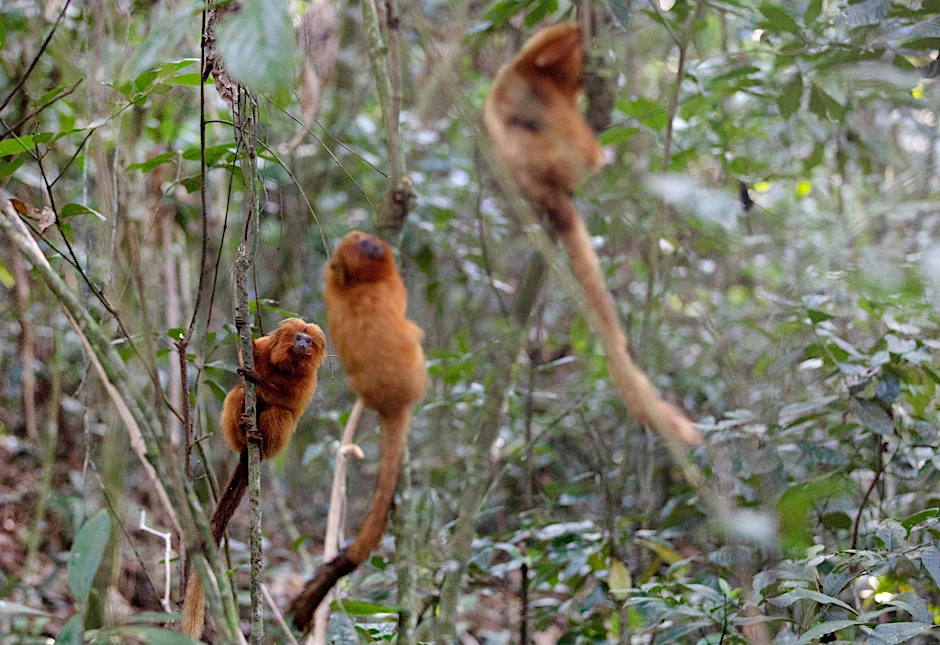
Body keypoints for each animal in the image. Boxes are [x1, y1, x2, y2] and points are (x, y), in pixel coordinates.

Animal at [181, 317, 326, 640]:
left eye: (309, 341)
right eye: (298, 337)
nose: (302, 345)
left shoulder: (308, 382)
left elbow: (289, 401)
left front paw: (259, 380)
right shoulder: (263, 348)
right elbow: (244, 354)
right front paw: (239, 325)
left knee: (281, 413)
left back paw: (259, 437)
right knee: (237, 394)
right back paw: (244, 424)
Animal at [287, 231, 427, 632]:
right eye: (363, 242)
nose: (370, 243)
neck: (359, 284)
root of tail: (393, 402)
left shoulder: (333, 285)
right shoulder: (391, 287)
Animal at [484, 23, 702, 446]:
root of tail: (545, 193)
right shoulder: (535, 72)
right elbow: (550, 51)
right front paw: (581, 34)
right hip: (554, 155)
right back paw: (592, 155)